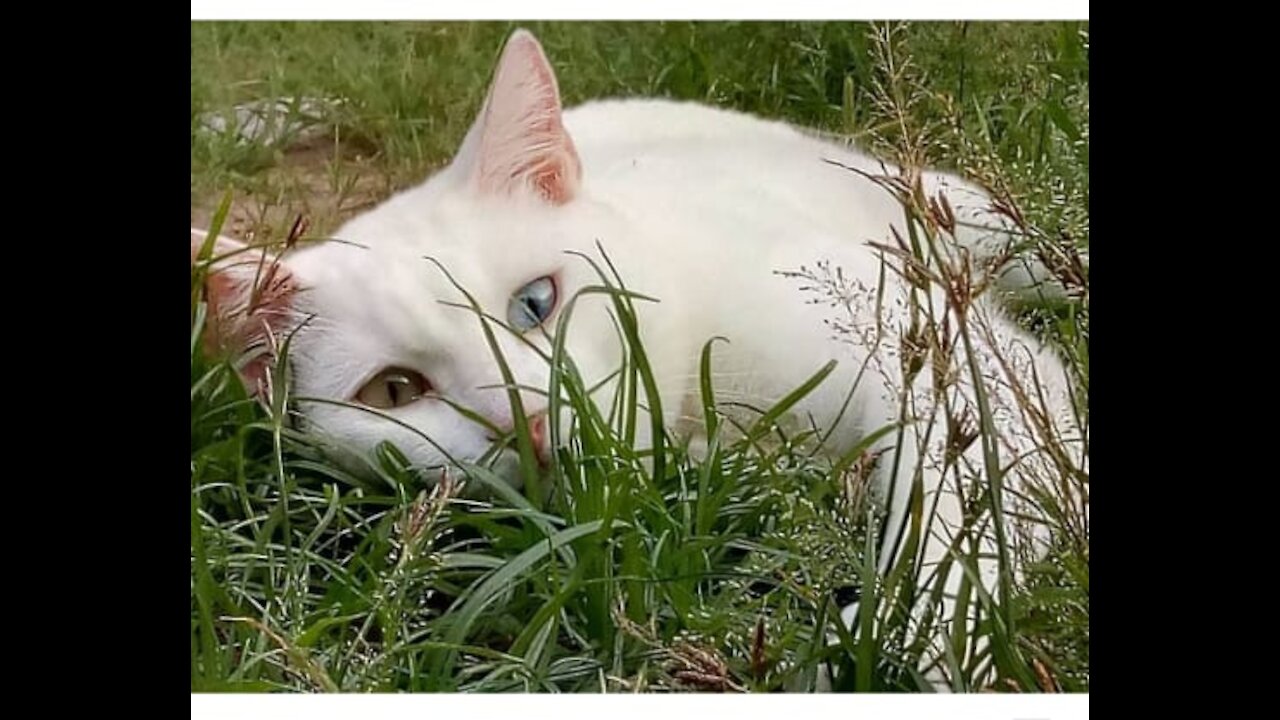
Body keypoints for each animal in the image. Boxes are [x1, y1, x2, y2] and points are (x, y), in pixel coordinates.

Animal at [194, 29, 1085, 691]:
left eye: (536, 303)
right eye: (395, 390)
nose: (534, 426)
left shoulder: (946, 353)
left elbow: (965, 504)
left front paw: (905, 642)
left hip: (957, 218)